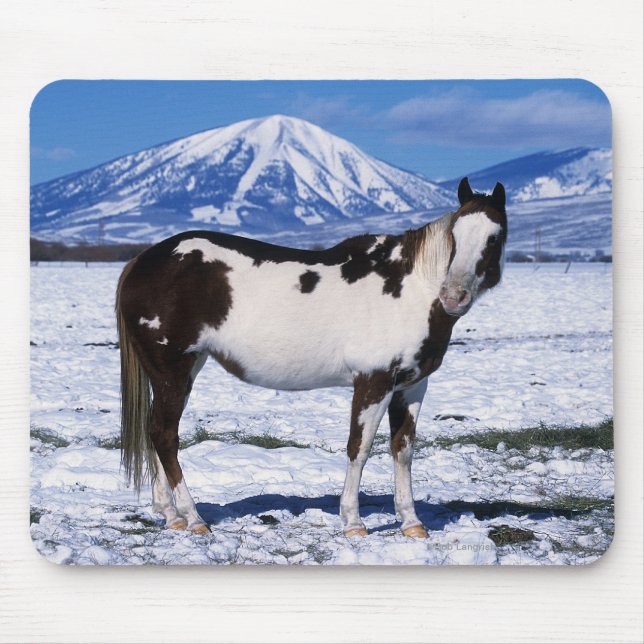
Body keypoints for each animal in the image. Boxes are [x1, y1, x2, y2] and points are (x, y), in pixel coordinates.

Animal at [116, 177, 507, 538]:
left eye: (495, 237)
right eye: (455, 234)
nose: (453, 296)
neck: (411, 290)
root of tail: (142, 261)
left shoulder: (411, 387)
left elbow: (403, 450)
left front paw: (412, 523)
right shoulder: (374, 382)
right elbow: (359, 448)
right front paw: (353, 522)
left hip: (179, 370)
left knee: (155, 433)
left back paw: (171, 515)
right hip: (172, 370)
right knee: (165, 435)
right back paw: (194, 518)